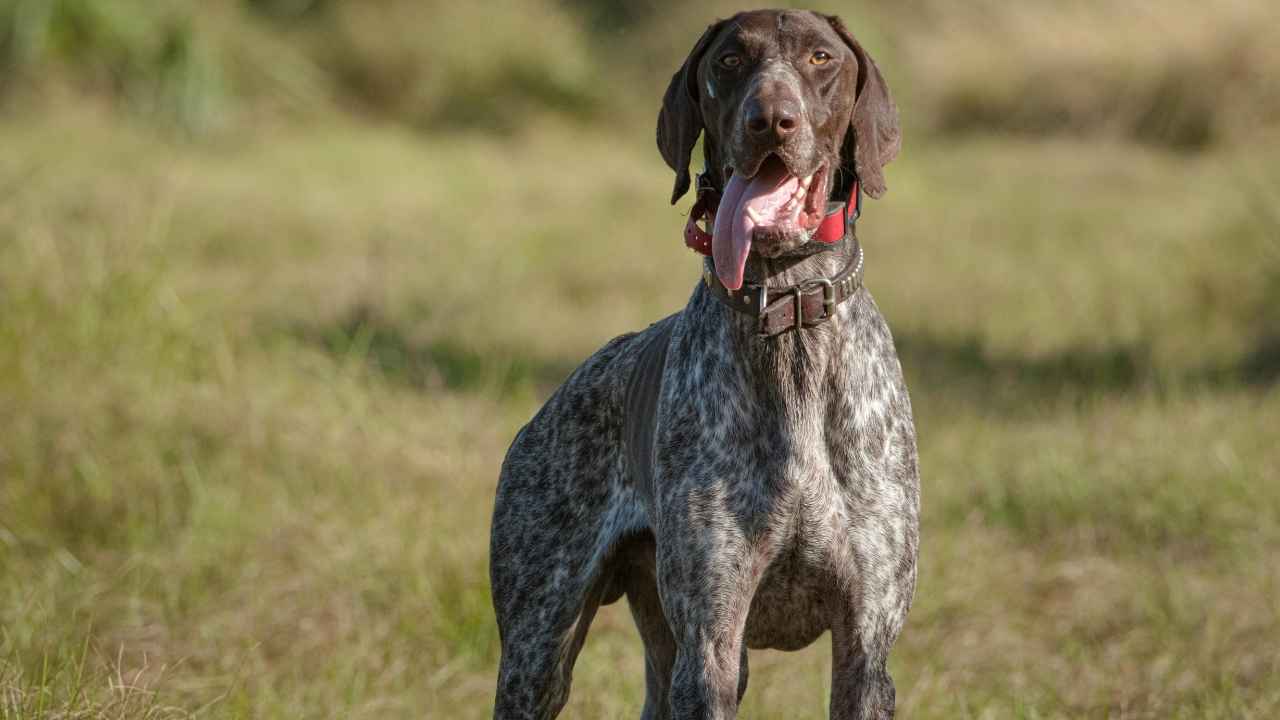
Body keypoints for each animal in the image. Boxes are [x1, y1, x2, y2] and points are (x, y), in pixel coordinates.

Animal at [488, 11, 921, 717]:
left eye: (821, 58)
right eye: (728, 61)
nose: (771, 120)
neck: (786, 310)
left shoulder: (865, 646)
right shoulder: (711, 642)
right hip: (538, 652)